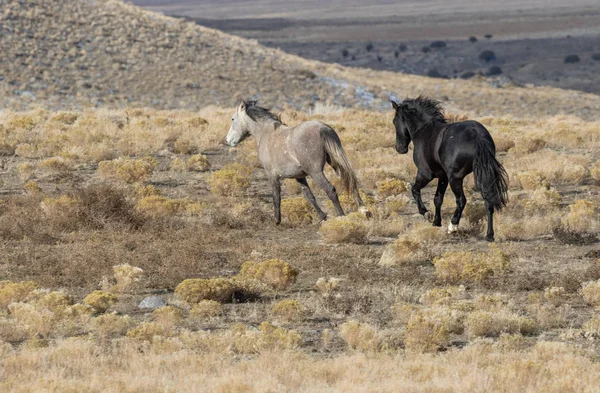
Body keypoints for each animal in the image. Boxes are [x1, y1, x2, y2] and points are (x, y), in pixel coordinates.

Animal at [227, 100, 370, 224]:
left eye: (233, 119)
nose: (228, 140)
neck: (266, 134)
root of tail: (323, 128)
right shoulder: (300, 177)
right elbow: (309, 196)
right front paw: (323, 217)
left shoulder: (272, 175)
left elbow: (276, 196)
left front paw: (277, 221)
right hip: (335, 164)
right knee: (350, 180)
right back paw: (364, 210)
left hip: (316, 172)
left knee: (331, 190)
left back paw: (341, 217)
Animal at [392, 96, 508, 240]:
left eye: (394, 121)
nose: (399, 148)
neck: (424, 130)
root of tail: (476, 135)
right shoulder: (443, 177)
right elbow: (437, 199)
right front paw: (436, 222)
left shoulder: (425, 174)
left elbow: (415, 190)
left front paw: (427, 214)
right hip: (482, 175)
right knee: (488, 201)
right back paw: (489, 235)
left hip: (455, 178)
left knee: (461, 200)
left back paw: (452, 227)